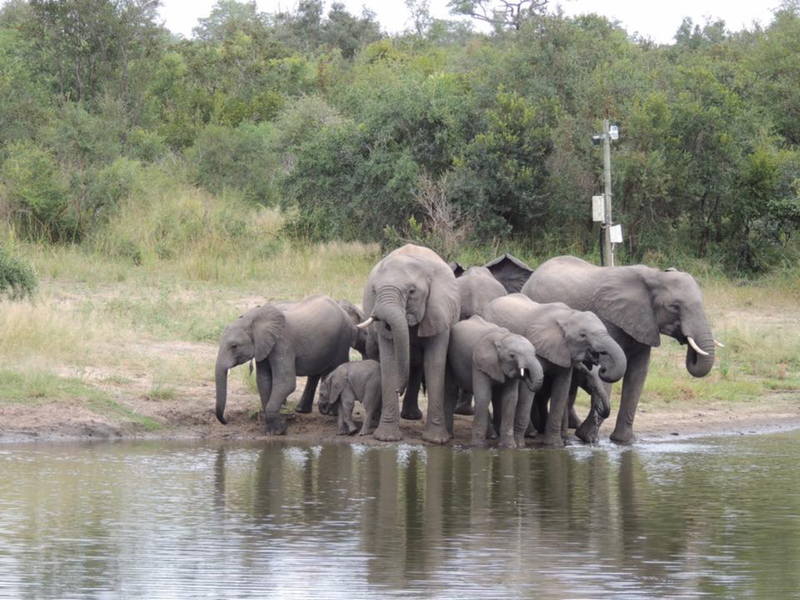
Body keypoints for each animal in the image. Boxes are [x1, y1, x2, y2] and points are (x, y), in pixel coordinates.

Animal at [215, 294, 359, 435]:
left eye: (234, 346)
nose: (225, 420)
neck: (252, 320)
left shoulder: (282, 344)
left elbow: (286, 383)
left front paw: (280, 431)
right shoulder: (263, 348)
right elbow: (263, 381)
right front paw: (270, 431)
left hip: (343, 339)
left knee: (336, 365)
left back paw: (331, 414)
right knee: (315, 373)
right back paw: (302, 410)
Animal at [359, 244, 460, 443]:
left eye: (412, 292)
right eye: (374, 291)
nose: (399, 390)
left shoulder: (439, 310)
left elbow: (434, 363)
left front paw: (436, 440)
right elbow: (390, 362)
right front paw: (386, 438)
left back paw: (411, 416)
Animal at [445, 316, 543, 448]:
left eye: (534, 353)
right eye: (512, 356)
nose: (526, 374)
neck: (503, 338)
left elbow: (510, 398)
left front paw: (509, 446)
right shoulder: (478, 363)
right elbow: (484, 396)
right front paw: (478, 447)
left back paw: (493, 435)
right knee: (451, 390)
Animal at [482, 294, 627, 447]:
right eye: (583, 335)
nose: (603, 369)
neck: (568, 316)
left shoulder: (564, 354)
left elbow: (562, 389)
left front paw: (555, 444)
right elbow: (528, 392)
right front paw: (520, 445)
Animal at [522, 256, 720, 444]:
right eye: (675, 306)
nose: (685, 338)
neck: (655, 276)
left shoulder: (644, 324)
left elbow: (638, 375)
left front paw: (624, 441)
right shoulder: (609, 319)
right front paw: (588, 437)